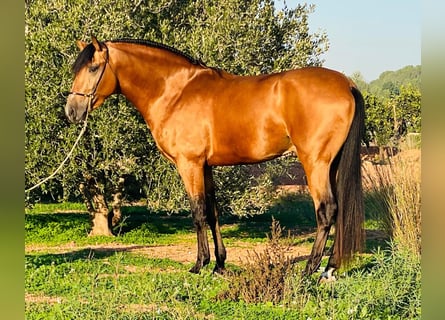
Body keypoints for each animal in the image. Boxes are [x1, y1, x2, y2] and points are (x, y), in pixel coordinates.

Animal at [66, 35, 364, 280]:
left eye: (93, 68)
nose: (72, 110)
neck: (175, 92)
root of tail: (346, 84)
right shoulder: (206, 167)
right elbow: (213, 213)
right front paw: (219, 265)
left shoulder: (189, 164)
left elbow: (198, 213)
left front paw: (199, 264)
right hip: (332, 165)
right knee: (338, 211)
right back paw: (330, 268)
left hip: (315, 163)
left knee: (326, 211)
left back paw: (310, 270)